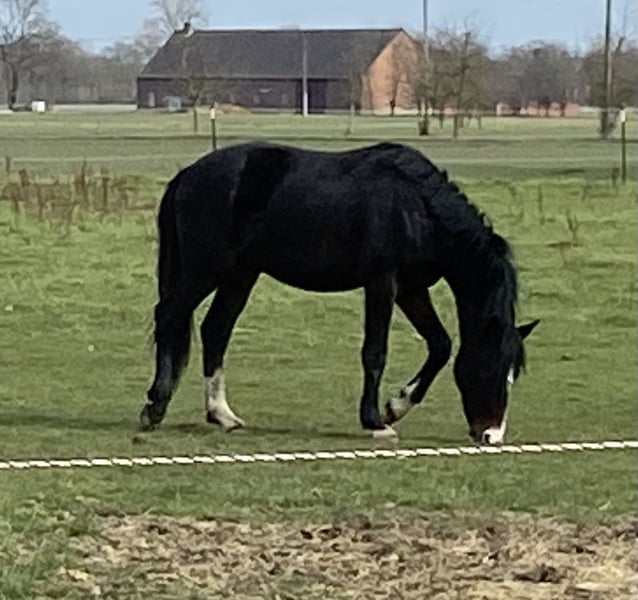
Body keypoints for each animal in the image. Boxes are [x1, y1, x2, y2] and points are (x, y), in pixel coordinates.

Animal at [140, 141, 539, 445]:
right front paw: (376, 421)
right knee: (170, 316)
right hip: (205, 268)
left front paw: (396, 406)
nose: (491, 435)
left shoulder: (410, 289)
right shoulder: (382, 282)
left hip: (240, 273)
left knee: (215, 329)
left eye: (512, 374)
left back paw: (221, 414)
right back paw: (154, 408)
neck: (416, 206)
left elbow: (440, 345)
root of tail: (188, 174)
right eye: (489, 367)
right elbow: (375, 352)